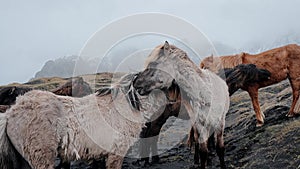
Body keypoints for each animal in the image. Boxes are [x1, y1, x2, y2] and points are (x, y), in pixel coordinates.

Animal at [134, 41, 230, 169]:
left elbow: (219, 148)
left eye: (153, 63)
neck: (206, 93)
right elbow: (203, 151)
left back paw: (151, 159)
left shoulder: (219, 122)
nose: (136, 83)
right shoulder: (200, 123)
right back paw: (147, 160)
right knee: (149, 134)